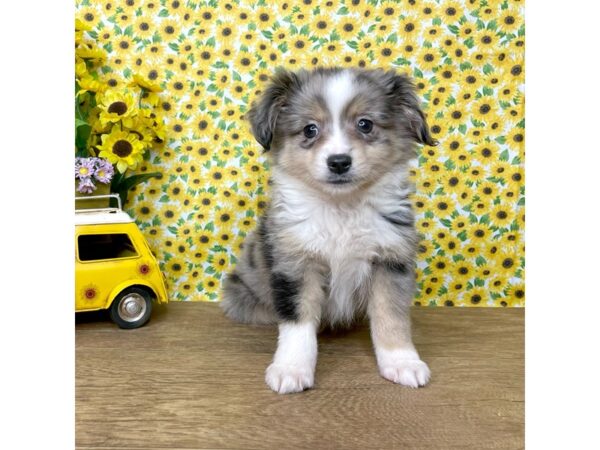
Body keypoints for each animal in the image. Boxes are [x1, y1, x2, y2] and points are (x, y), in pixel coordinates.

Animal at [220, 67, 436, 394]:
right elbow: (298, 323)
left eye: (365, 124)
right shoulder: (297, 262)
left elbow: (391, 317)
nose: (339, 162)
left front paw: (401, 362)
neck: (341, 208)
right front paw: (291, 368)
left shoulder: (390, 259)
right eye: (310, 129)